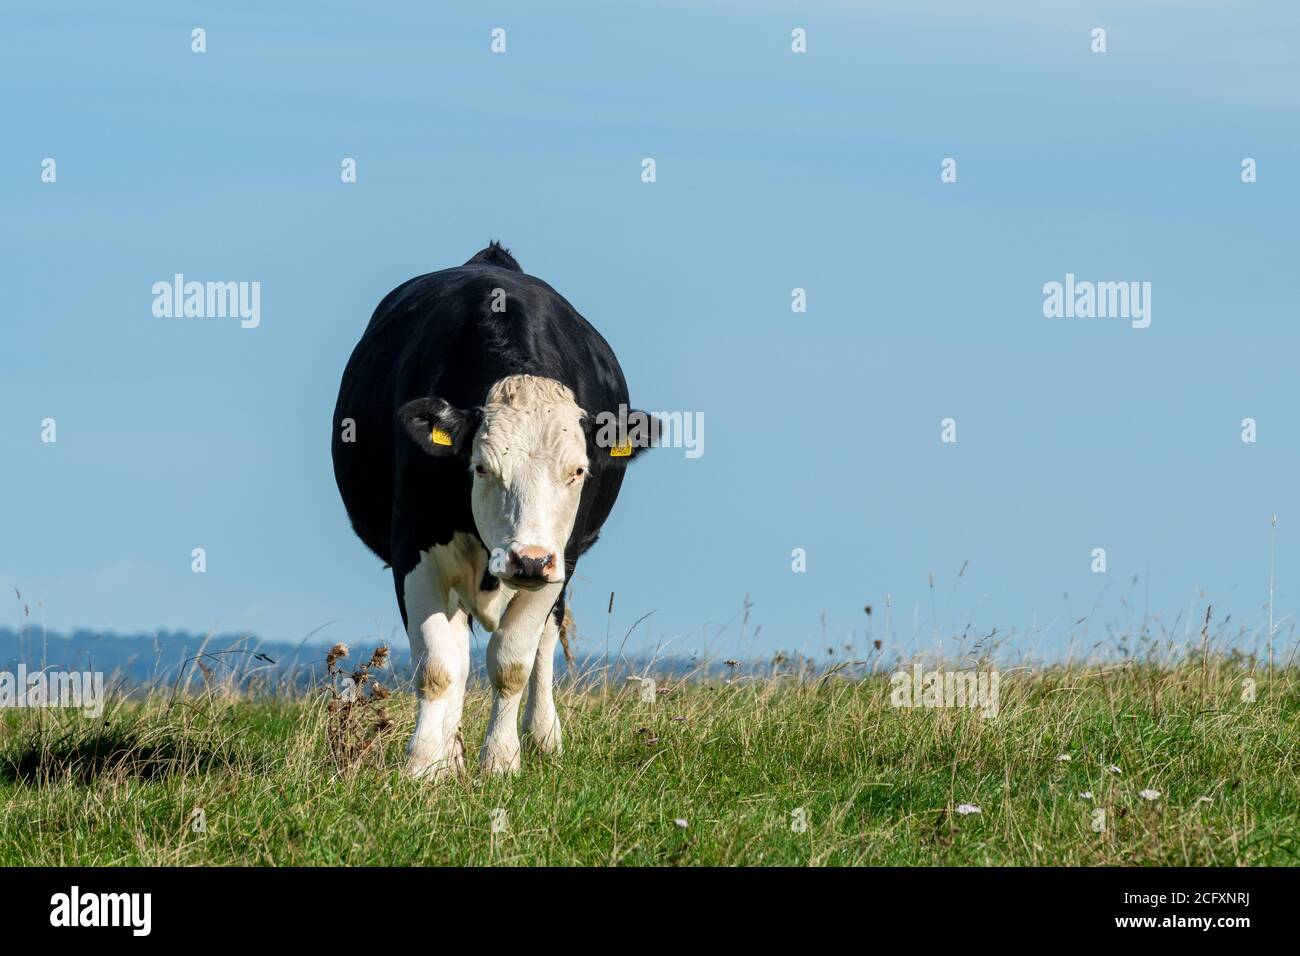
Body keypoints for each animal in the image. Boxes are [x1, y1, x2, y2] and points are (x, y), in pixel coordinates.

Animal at [331, 242, 652, 778]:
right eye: (480, 467)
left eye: (578, 471)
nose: (528, 560)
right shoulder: (414, 551)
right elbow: (439, 667)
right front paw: (428, 764)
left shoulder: (560, 561)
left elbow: (513, 663)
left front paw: (501, 760)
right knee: (459, 654)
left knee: (544, 645)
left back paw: (543, 737)